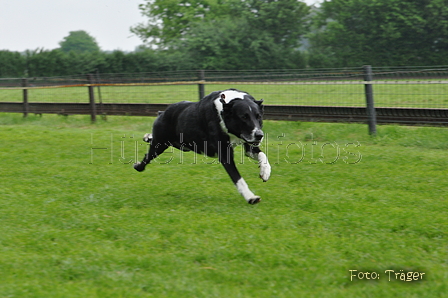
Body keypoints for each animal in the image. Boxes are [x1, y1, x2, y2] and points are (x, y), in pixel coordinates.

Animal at [133, 89, 272, 205]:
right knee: (147, 157)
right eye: (244, 117)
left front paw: (265, 172)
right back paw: (138, 165)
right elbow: (238, 178)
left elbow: (262, 155)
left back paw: (147, 137)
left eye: (259, 116)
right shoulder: (224, 154)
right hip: (160, 145)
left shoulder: (249, 145)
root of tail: (162, 113)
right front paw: (251, 197)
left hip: (181, 145)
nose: (259, 135)